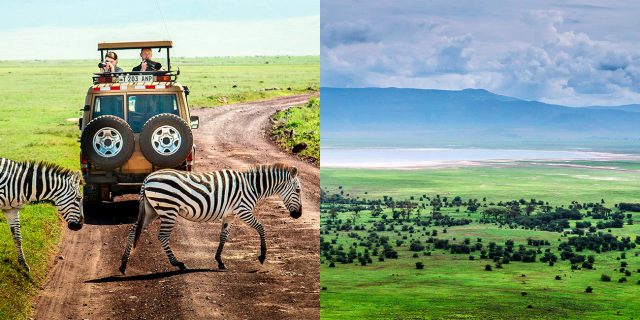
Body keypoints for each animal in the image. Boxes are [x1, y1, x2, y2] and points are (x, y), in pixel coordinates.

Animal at [120, 164, 302, 274]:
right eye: (298, 190)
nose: (298, 215)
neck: (252, 186)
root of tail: (147, 179)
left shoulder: (230, 215)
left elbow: (223, 236)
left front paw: (220, 261)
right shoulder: (243, 210)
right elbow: (261, 227)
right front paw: (262, 256)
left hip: (152, 210)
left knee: (133, 230)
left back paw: (123, 264)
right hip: (168, 209)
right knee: (162, 236)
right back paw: (179, 264)